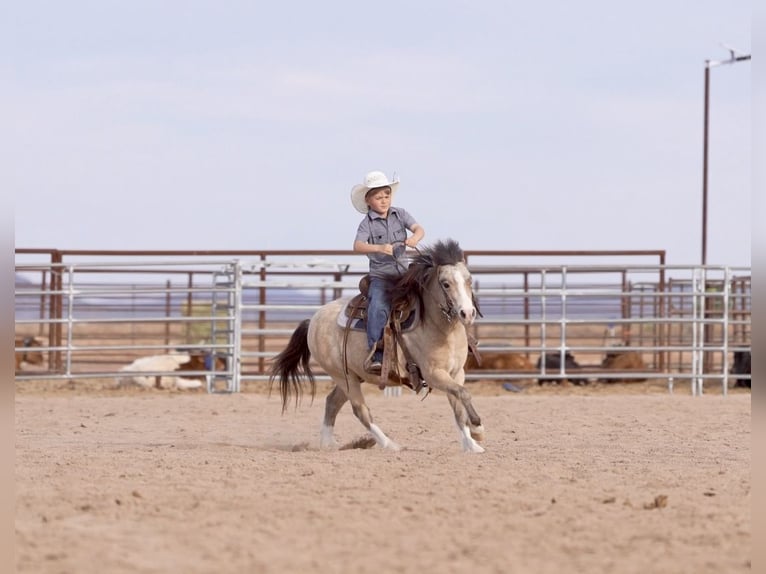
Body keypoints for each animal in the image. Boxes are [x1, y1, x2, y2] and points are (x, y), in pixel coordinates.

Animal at [269, 239, 486, 453]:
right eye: (446, 284)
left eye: (468, 280)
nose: (467, 313)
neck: (439, 328)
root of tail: (313, 320)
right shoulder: (434, 374)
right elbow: (463, 394)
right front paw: (477, 427)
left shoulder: (456, 373)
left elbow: (458, 406)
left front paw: (472, 444)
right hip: (343, 376)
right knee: (360, 410)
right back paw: (389, 444)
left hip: (351, 376)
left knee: (332, 402)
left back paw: (328, 444)